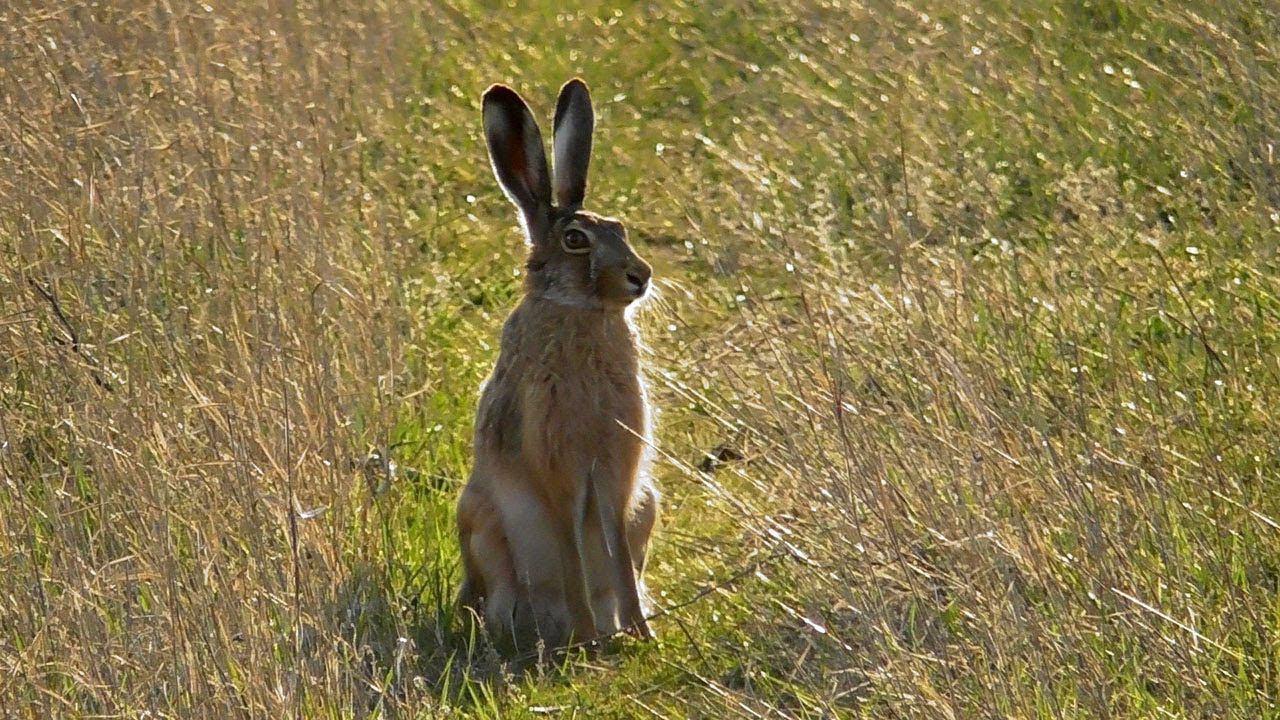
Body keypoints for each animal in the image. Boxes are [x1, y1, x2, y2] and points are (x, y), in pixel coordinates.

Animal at [455, 78, 660, 653]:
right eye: (575, 241)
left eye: (620, 228)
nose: (641, 276)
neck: (579, 312)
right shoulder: (557, 464)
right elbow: (570, 546)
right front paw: (589, 639)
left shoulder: (616, 468)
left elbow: (615, 548)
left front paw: (639, 633)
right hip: (481, 522)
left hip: (649, 506)